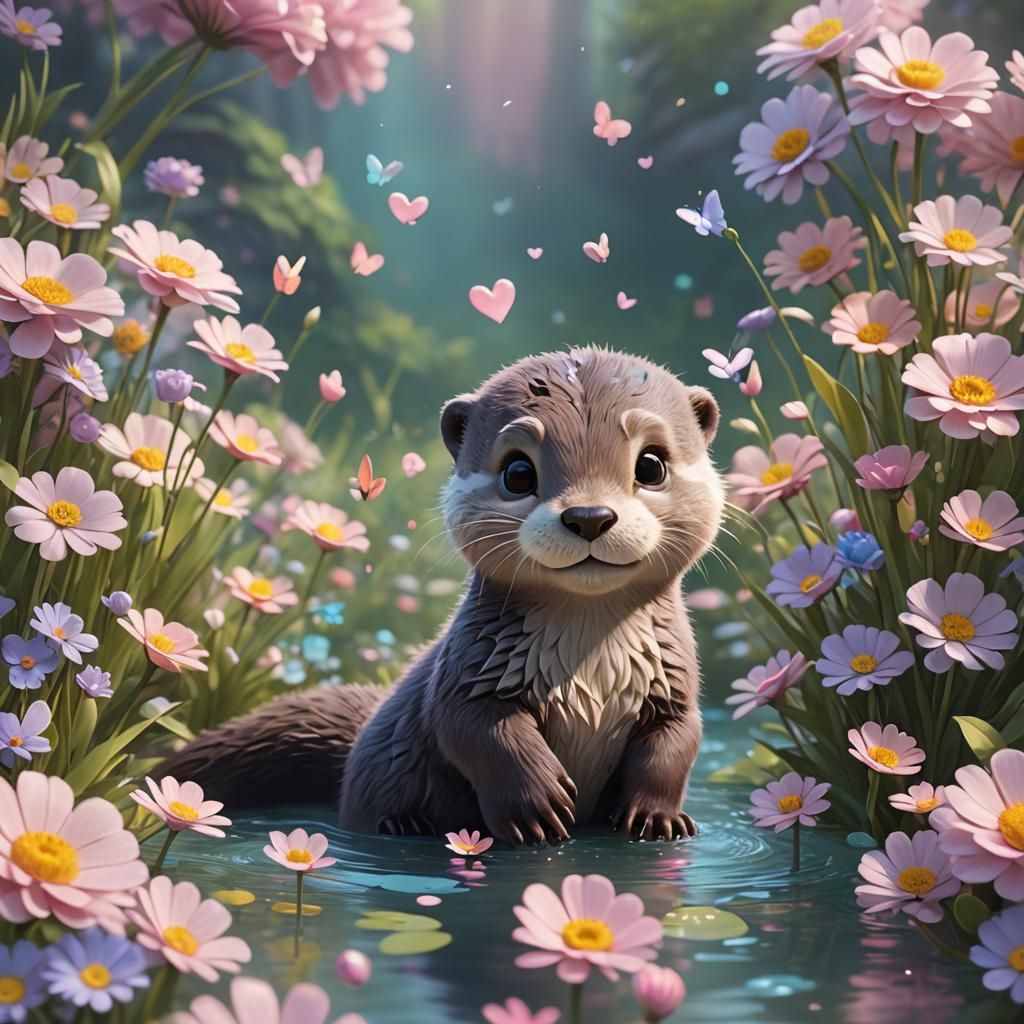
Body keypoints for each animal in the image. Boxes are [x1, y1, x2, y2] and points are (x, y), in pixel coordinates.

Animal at [161, 347, 724, 844]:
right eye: (518, 472)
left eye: (651, 465)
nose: (589, 516)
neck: (590, 667)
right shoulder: (466, 673)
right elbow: (477, 732)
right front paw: (536, 807)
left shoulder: (674, 684)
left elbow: (677, 743)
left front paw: (658, 819)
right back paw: (403, 825)